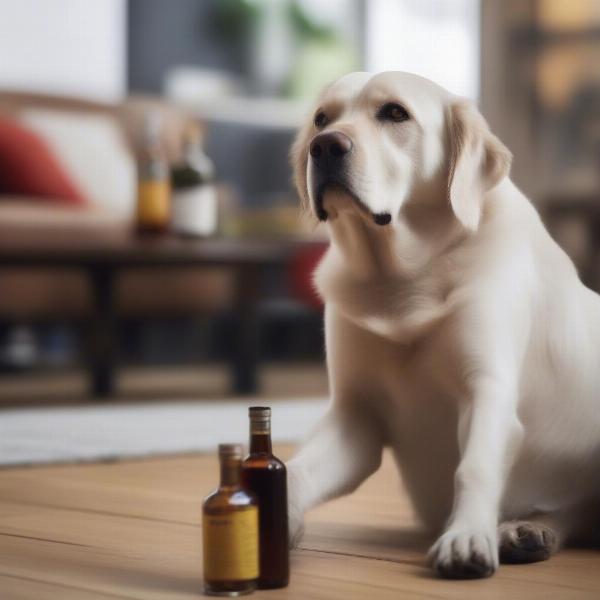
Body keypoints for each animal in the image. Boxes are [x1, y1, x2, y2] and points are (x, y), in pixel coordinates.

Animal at [284, 69, 600, 576]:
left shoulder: (487, 388)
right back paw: (529, 531)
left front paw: (467, 536)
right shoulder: (355, 415)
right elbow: (297, 469)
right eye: (321, 119)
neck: (401, 276)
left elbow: (474, 466)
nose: (325, 146)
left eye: (395, 113)